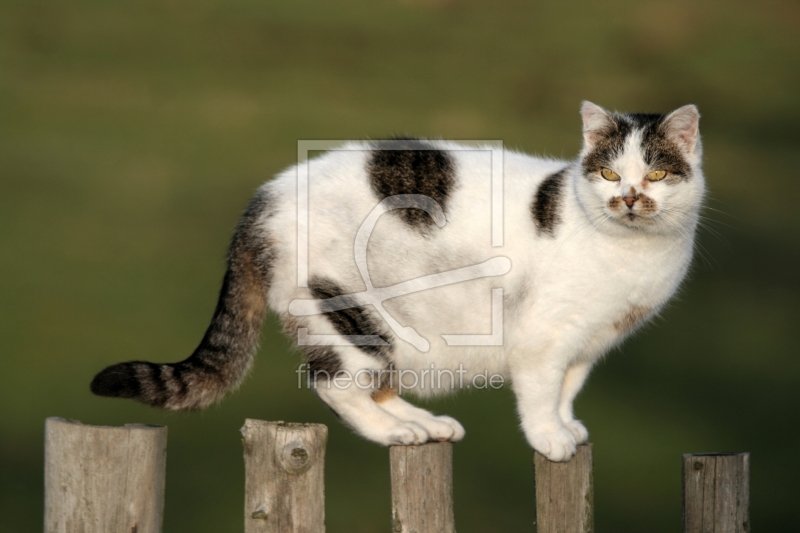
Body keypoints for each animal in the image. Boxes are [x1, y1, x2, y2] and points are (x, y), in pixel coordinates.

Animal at [90, 102, 704, 460]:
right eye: (608, 173)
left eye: (656, 173)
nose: (630, 198)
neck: (634, 254)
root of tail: (260, 203)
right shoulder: (544, 338)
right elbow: (539, 393)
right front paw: (550, 438)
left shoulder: (590, 341)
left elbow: (568, 389)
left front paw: (568, 426)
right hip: (349, 313)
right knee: (335, 385)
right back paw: (394, 432)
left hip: (399, 335)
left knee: (378, 383)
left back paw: (423, 424)